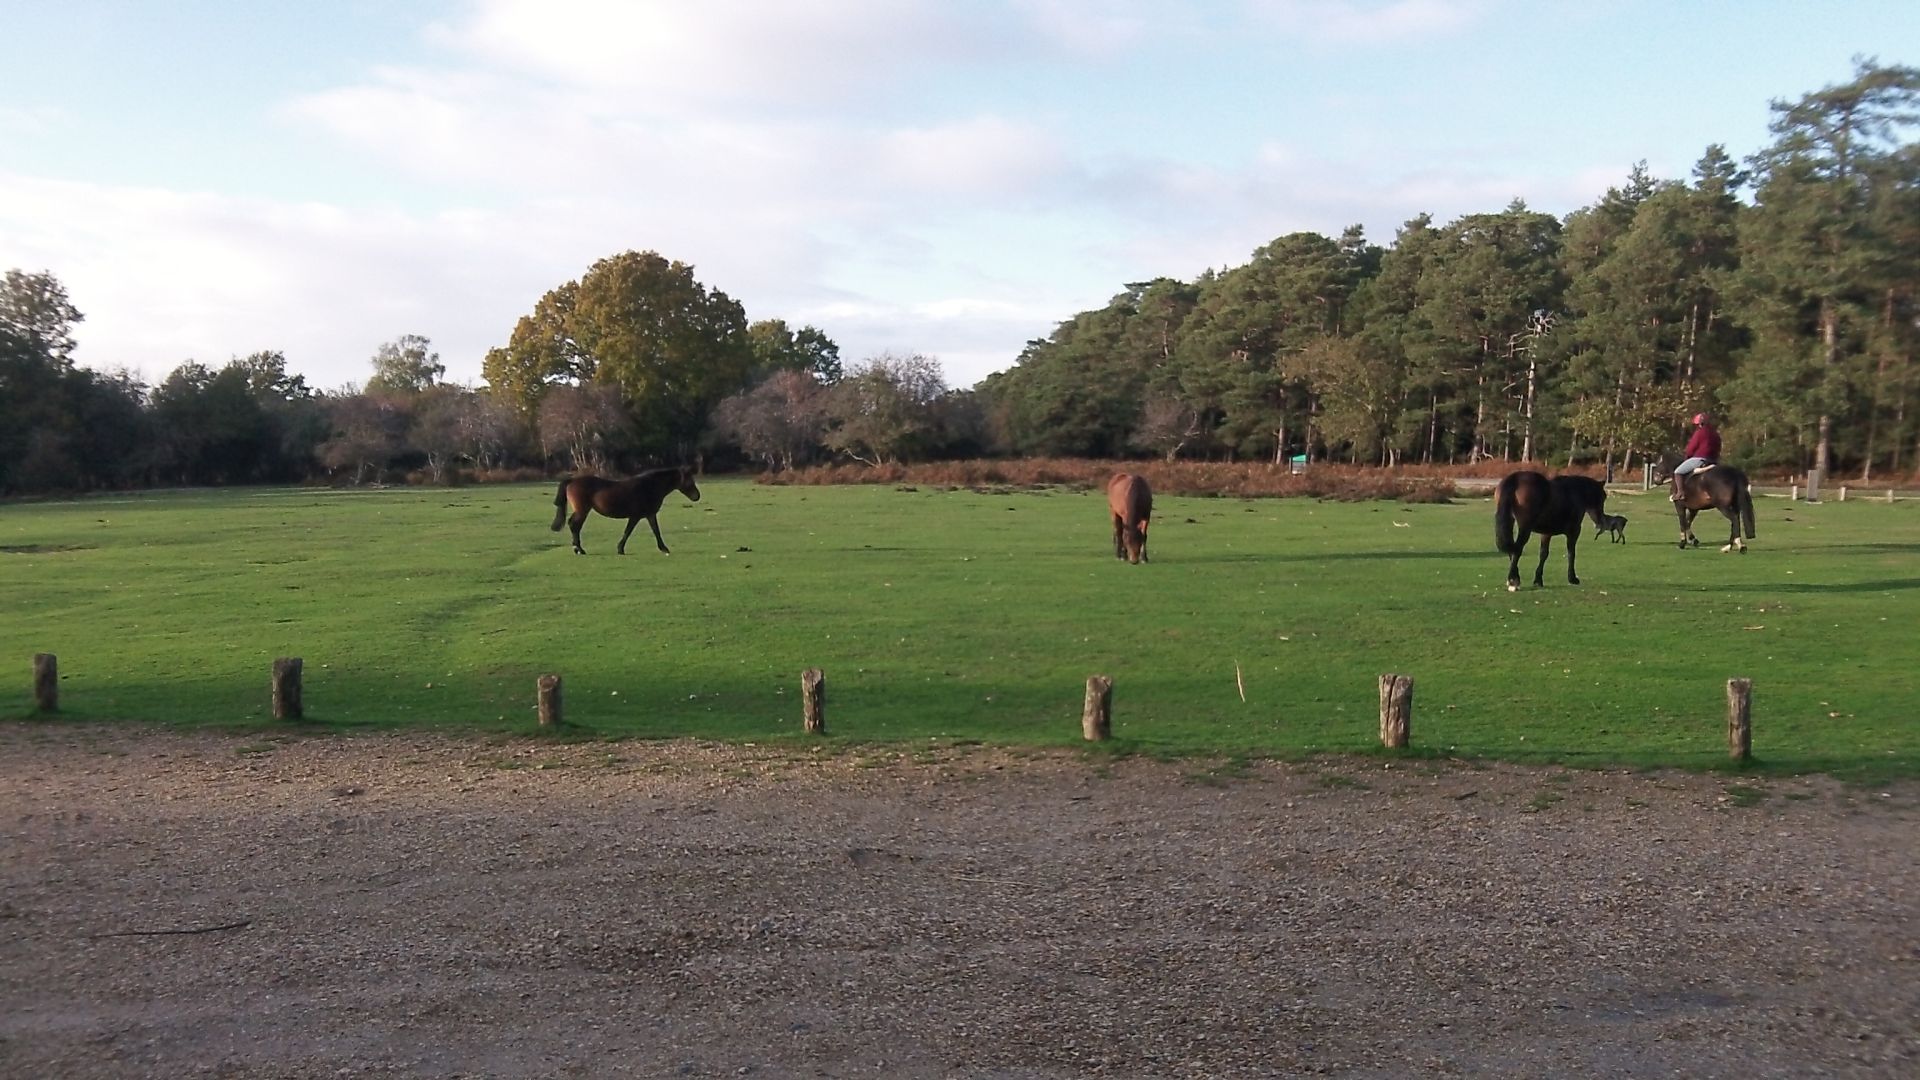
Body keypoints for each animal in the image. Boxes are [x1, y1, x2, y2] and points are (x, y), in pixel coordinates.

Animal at [551, 466, 701, 555]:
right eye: (689, 480)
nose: (697, 496)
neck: (649, 487)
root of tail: (571, 480)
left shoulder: (649, 514)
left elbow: (655, 530)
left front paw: (663, 548)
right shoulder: (635, 516)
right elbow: (628, 532)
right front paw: (620, 549)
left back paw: (578, 549)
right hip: (583, 510)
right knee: (574, 525)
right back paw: (579, 549)